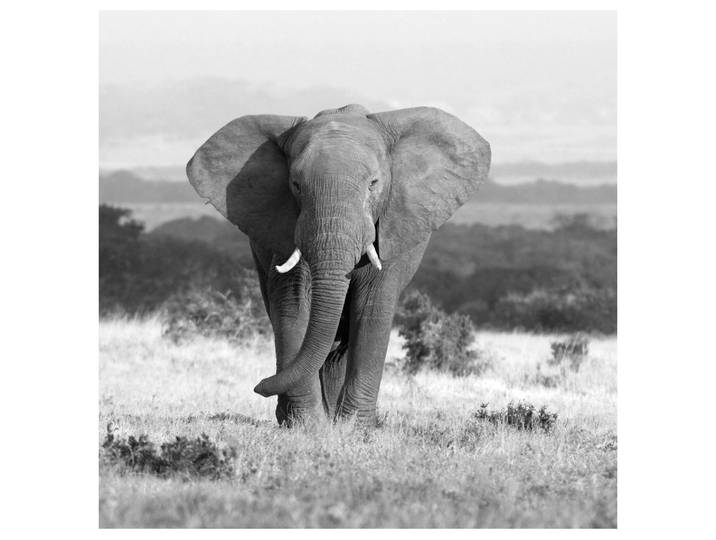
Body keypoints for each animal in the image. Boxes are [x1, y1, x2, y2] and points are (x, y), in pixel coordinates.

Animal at [186, 104, 490, 425]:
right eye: (296, 185)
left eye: (373, 184)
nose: (259, 385)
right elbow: (293, 305)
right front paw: (307, 425)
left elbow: (372, 308)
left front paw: (353, 428)